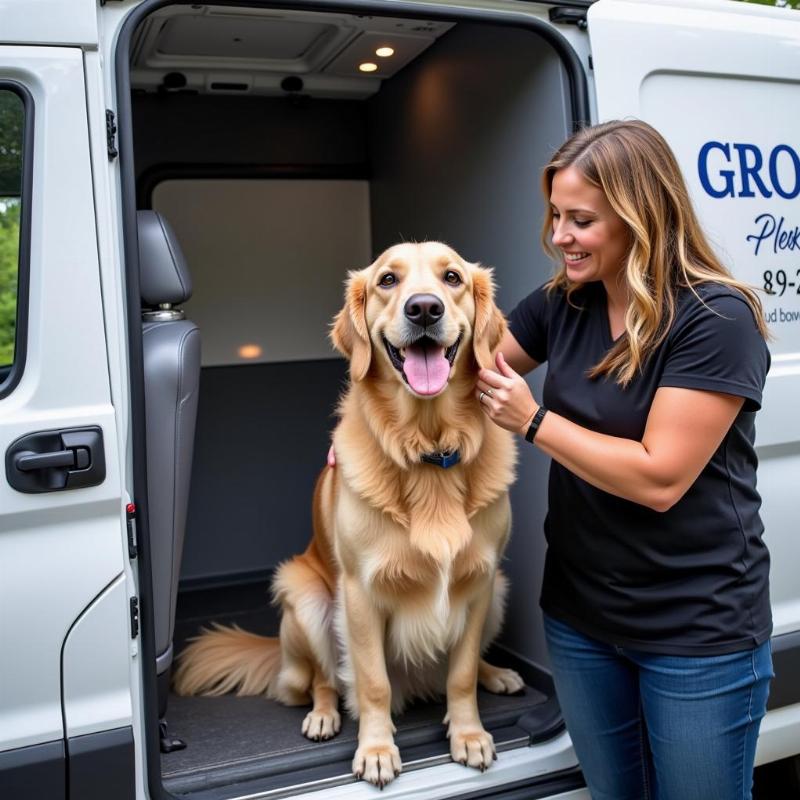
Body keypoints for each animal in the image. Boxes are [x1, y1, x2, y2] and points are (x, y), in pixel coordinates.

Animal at [173, 239, 520, 788]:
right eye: (387, 281)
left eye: (452, 278)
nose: (425, 308)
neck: (428, 449)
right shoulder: (359, 593)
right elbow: (373, 682)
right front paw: (376, 750)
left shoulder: (479, 581)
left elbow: (462, 674)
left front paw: (468, 734)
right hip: (306, 596)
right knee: (320, 680)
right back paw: (323, 715)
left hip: (499, 592)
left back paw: (497, 674)